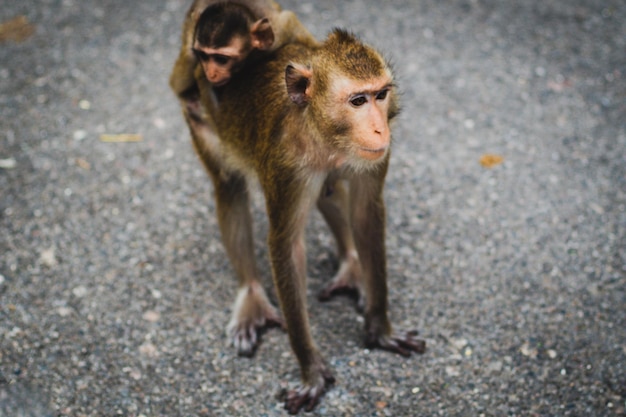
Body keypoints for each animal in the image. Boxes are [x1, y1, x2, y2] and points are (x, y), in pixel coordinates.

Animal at [178, 26, 426, 412]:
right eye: (358, 101)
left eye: (381, 95)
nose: (379, 130)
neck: (321, 134)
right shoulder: (287, 166)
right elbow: (287, 246)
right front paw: (311, 371)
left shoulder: (375, 158)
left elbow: (366, 217)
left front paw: (380, 328)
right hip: (200, 118)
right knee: (229, 186)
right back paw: (251, 295)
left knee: (329, 193)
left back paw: (352, 266)